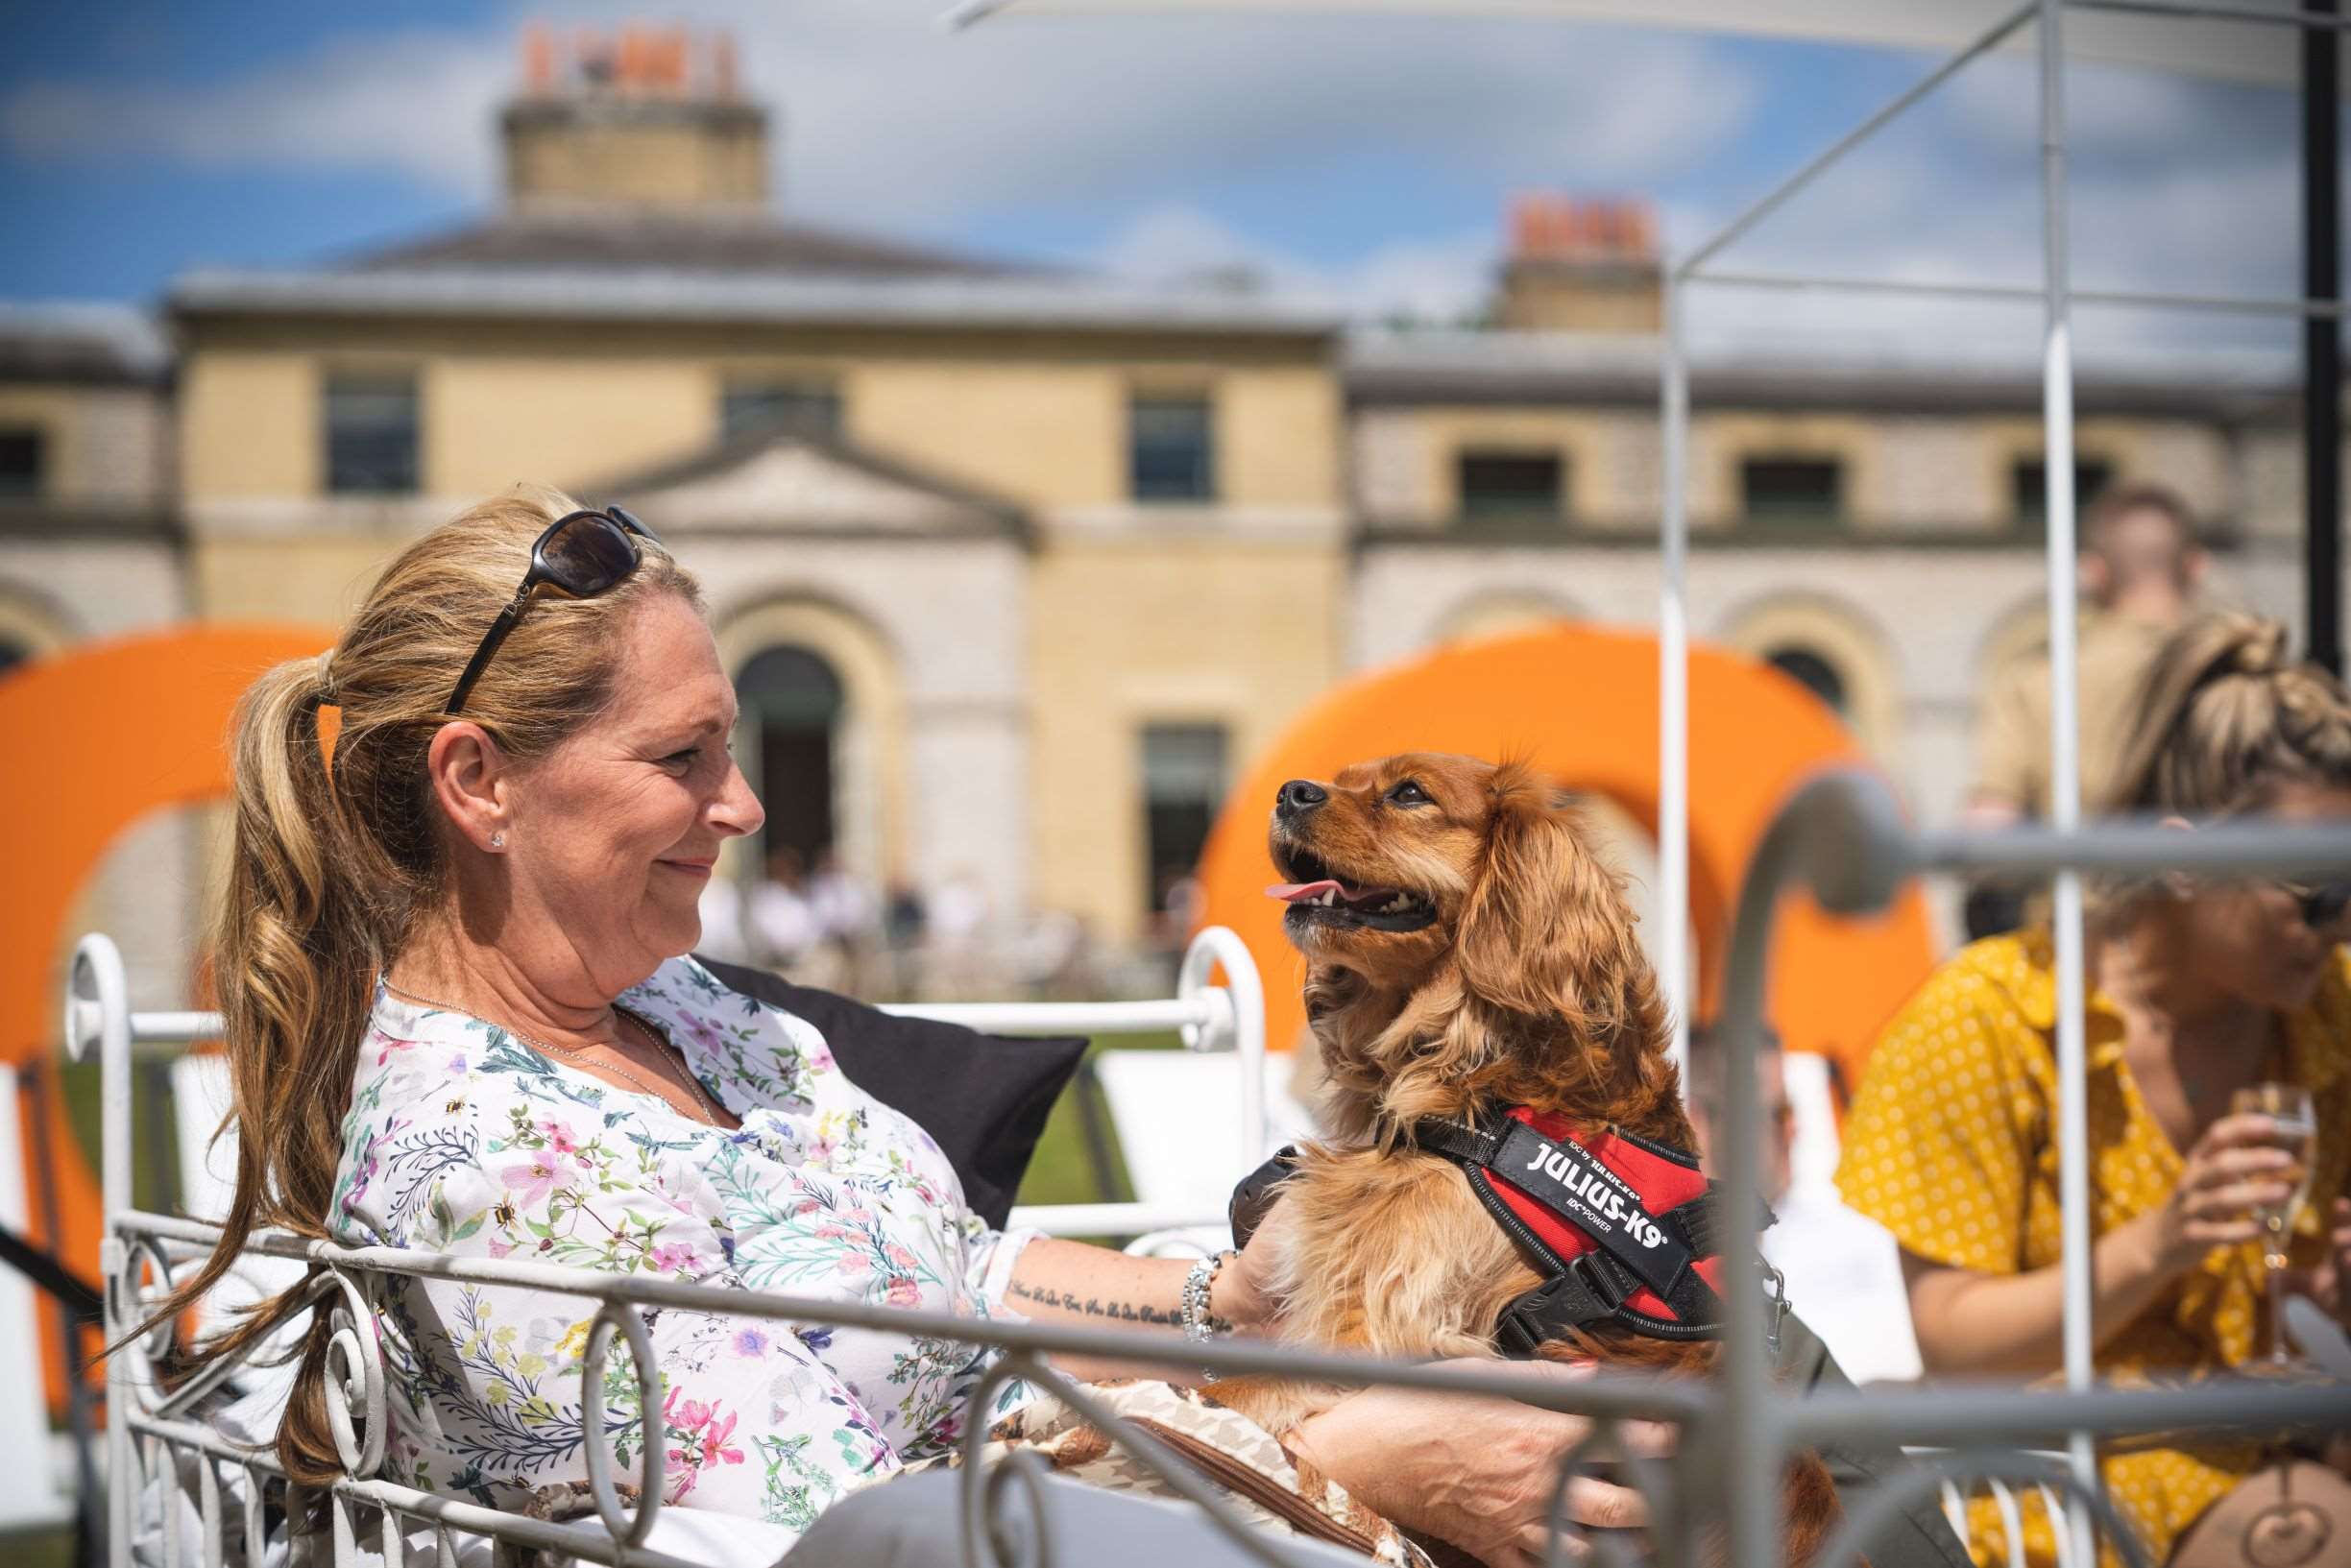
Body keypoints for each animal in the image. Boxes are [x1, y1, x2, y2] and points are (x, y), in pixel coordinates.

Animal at [1222, 752, 1843, 1560]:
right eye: (1343, 776)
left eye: (1409, 793)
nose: (1289, 791)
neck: (1480, 1091)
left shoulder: (1367, 1326)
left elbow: (1220, 1388)